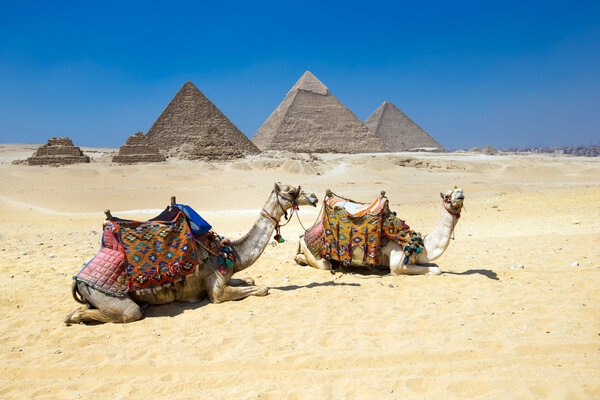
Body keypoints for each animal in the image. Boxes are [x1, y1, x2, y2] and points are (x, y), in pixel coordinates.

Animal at [65, 183, 318, 324]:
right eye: (291, 191)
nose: (314, 197)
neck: (230, 252)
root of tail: (79, 280)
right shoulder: (216, 291)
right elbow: (261, 289)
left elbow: (250, 280)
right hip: (113, 299)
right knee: (128, 313)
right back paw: (75, 317)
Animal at [294, 188, 464, 276]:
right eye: (447, 195)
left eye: (457, 190)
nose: (460, 193)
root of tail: (304, 235)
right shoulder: (397, 264)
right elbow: (437, 270)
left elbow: (435, 266)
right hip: (317, 256)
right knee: (321, 264)